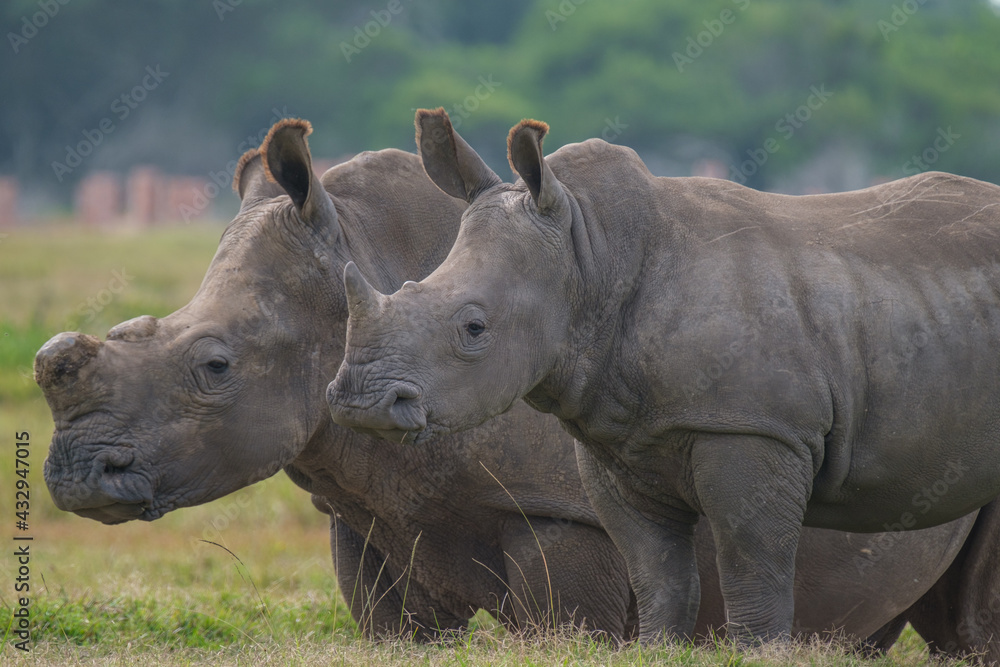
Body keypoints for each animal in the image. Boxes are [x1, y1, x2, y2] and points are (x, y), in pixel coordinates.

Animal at [327, 108, 1000, 645]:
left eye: (473, 328)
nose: (361, 404)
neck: (591, 253)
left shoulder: (755, 427)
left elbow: (752, 565)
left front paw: (757, 652)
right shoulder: (616, 441)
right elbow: (657, 574)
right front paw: (659, 648)